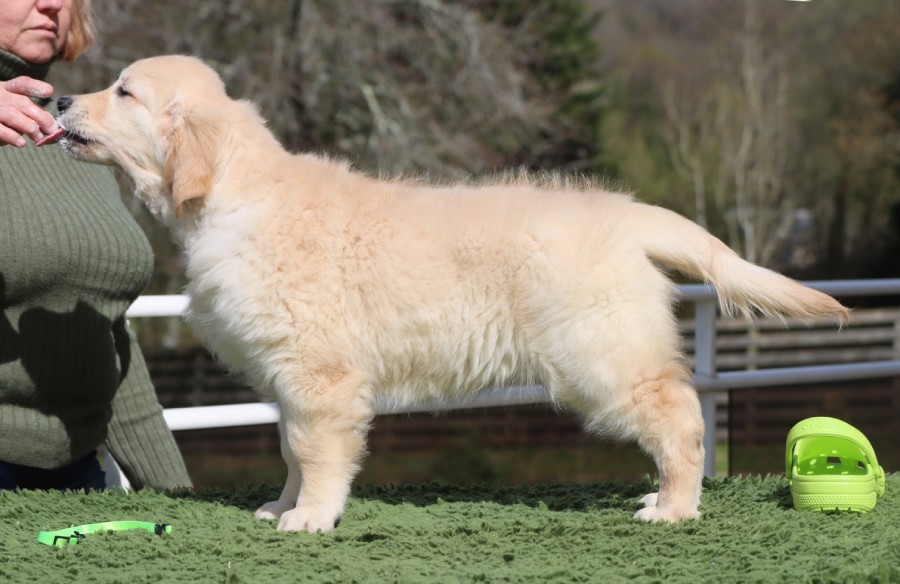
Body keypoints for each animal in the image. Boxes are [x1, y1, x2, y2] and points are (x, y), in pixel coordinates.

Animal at [57, 55, 849, 533]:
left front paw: (309, 517)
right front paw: (280, 505)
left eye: (123, 91)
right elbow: (287, 448)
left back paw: (675, 507)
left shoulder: (319, 376)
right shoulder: (288, 376)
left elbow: (314, 451)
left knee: (681, 417)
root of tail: (629, 214)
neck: (234, 194)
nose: (60, 97)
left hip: (603, 354)